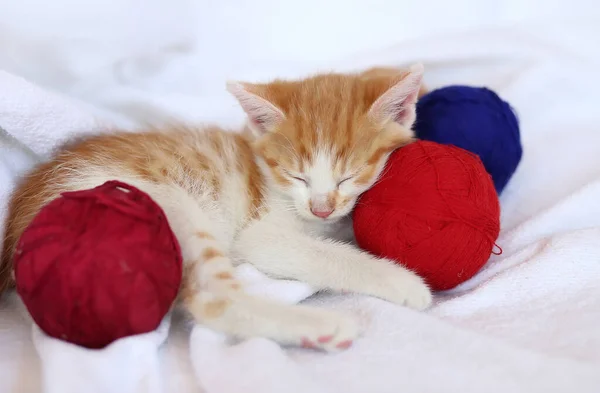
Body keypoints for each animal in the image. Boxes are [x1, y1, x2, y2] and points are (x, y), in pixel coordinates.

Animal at [0, 62, 432, 350]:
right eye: (297, 176)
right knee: (213, 301)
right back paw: (320, 326)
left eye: (350, 175)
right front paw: (400, 280)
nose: (322, 208)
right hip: (168, 202)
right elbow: (322, 253)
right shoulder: (263, 231)